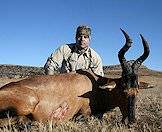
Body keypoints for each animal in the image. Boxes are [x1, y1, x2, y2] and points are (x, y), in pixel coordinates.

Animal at [0, 28, 150, 125]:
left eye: (137, 91)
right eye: (122, 90)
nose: (131, 122)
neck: (95, 86)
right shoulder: (83, 114)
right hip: (28, 103)